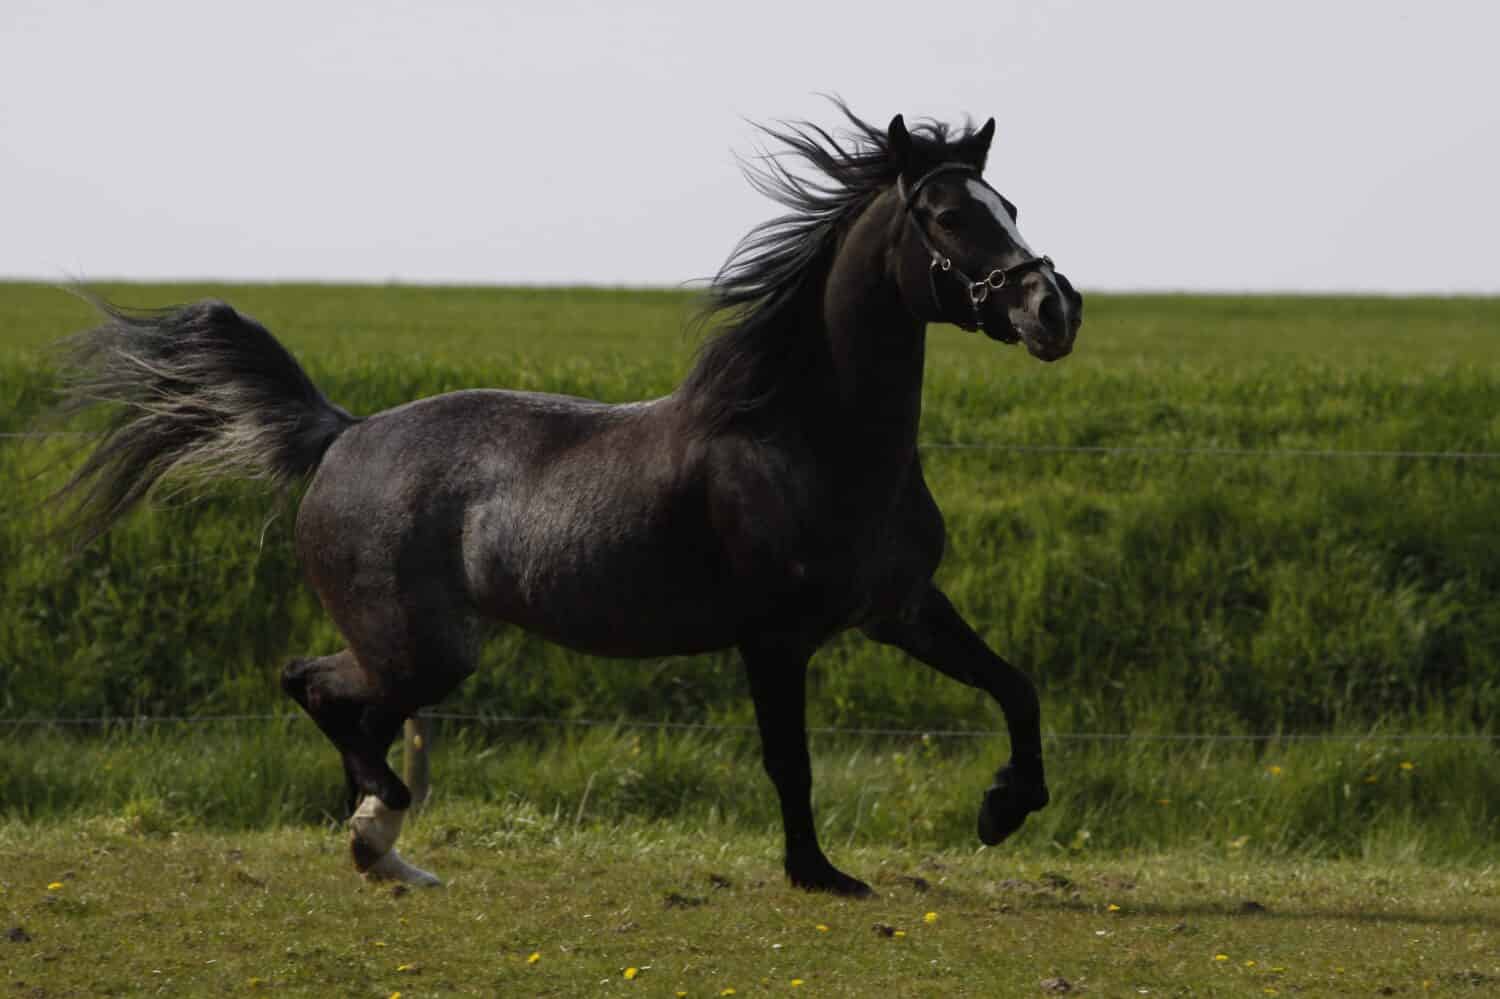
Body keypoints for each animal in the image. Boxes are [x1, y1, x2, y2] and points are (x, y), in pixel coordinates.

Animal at [50, 104, 1082, 896]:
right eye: (945, 214)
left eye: (1009, 205)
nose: (1055, 309)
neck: (808, 438)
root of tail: (342, 433)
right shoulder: (776, 637)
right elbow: (789, 758)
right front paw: (820, 873)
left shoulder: (898, 608)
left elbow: (1015, 685)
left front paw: (1002, 810)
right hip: (422, 646)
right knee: (316, 687)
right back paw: (382, 830)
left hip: (417, 650)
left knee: (341, 702)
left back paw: (385, 849)